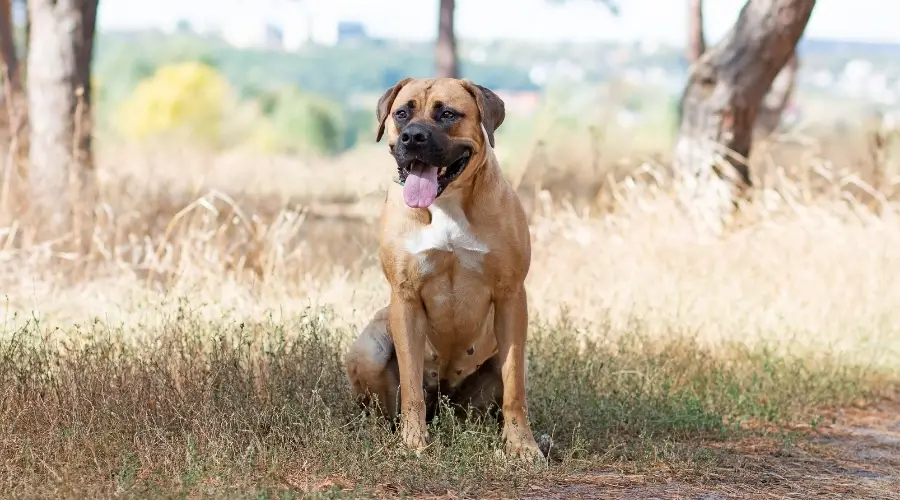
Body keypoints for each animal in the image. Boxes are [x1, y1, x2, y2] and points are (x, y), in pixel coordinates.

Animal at [342, 75, 540, 460]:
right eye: (402, 113)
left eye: (447, 114)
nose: (413, 137)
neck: (446, 203)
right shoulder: (405, 298)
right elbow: (411, 386)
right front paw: (413, 442)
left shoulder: (510, 296)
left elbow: (515, 388)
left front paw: (522, 445)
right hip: (370, 349)